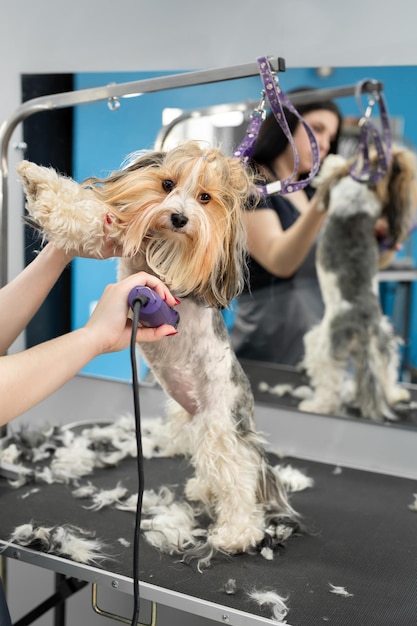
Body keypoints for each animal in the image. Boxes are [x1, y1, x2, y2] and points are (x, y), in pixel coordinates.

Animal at [17, 141, 300, 560]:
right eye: (167, 184)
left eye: (205, 197)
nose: (179, 217)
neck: (163, 242)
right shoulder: (116, 237)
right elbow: (90, 216)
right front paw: (37, 178)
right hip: (195, 422)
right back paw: (203, 489)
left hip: (220, 425)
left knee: (238, 478)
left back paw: (237, 533)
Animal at [300, 146, 416, 420]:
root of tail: (363, 327)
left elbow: (333, 172)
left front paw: (333, 161)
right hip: (383, 344)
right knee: (386, 370)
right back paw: (395, 394)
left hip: (324, 344)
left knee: (328, 383)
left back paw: (317, 406)